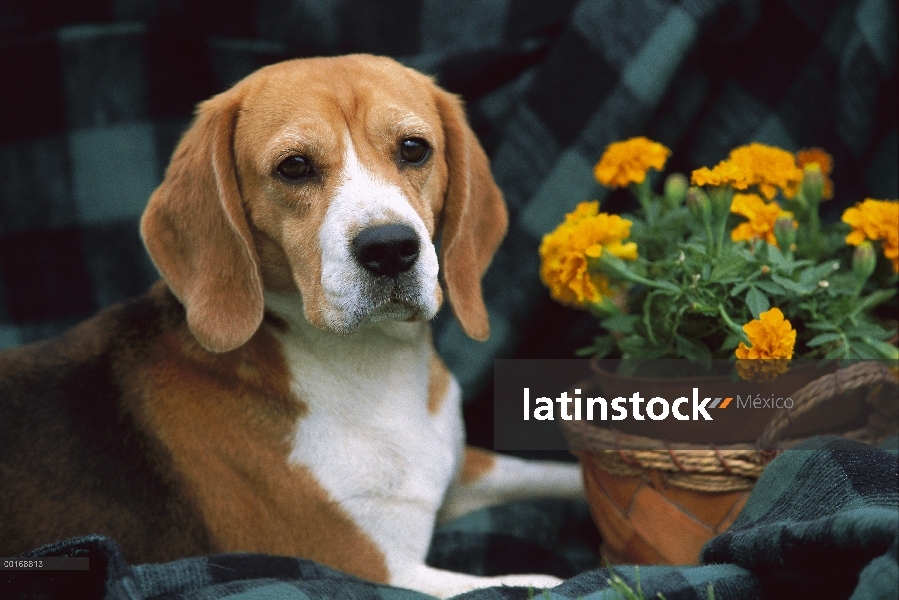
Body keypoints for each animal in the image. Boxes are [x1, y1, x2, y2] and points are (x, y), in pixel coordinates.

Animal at [0, 55, 584, 596]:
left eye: (414, 149)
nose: (390, 248)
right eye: (295, 166)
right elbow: (536, 581)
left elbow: (558, 471)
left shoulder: (461, 472)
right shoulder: (372, 568)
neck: (372, 369)